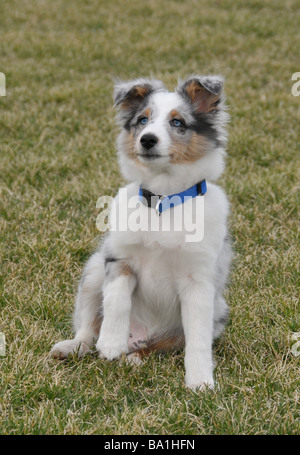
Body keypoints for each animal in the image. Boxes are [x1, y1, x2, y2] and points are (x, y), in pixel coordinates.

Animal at [51, 76, 232, 390]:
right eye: (142, 120)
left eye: (178, 122)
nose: (147, 139)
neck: (163, 201)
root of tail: (139, 336)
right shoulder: (119, 258)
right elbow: (116, 300)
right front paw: (111, 341)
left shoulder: (198, 281)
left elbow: (197, 339)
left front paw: (200, 381)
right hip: (94, 270)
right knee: (88, 328)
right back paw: (75, 347)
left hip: (217, 312)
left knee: (161, 345)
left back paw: (136, 357)